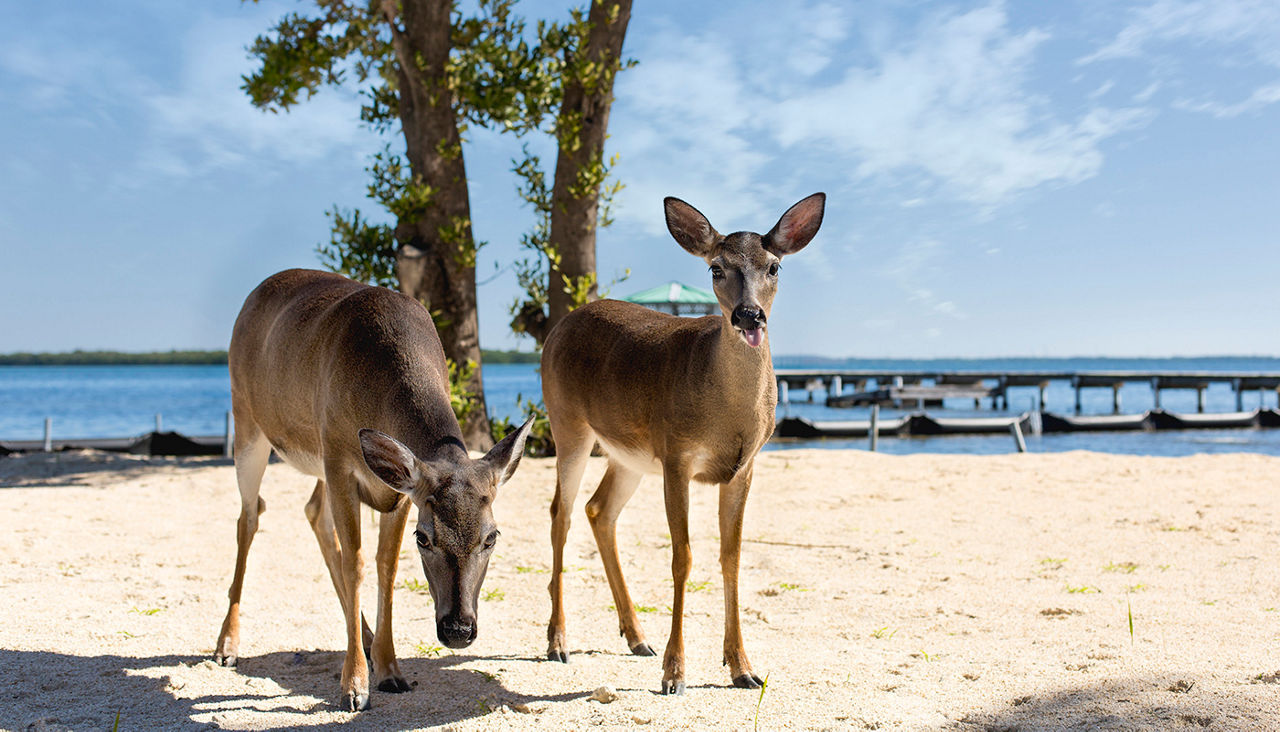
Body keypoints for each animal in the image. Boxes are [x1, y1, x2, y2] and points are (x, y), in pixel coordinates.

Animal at [212, 268, 532, 711]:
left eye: (492, 537)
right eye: (424, 538)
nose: (458, 630)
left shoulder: (400, 492)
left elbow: (386, 566)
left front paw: (391, 670)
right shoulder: (339, 459)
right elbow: (357, 563)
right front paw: (354, 685)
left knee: (312, 512)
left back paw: (363, 635)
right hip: (247, 418)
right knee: (250, 515)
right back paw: (226, 645)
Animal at [542, 191, 829, 696]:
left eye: (775, 266)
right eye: (715, 267)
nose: (748, 315)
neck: (728, 418)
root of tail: (557, 327)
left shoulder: (744, 467)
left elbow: (731, 557)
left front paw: (742, 667)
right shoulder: (677, 455)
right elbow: (683, 558)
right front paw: (674, 672)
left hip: (630, 453)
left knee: (599, 510)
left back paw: (637, 636)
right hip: (568, 423)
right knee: (562, 512)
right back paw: (558, 642)